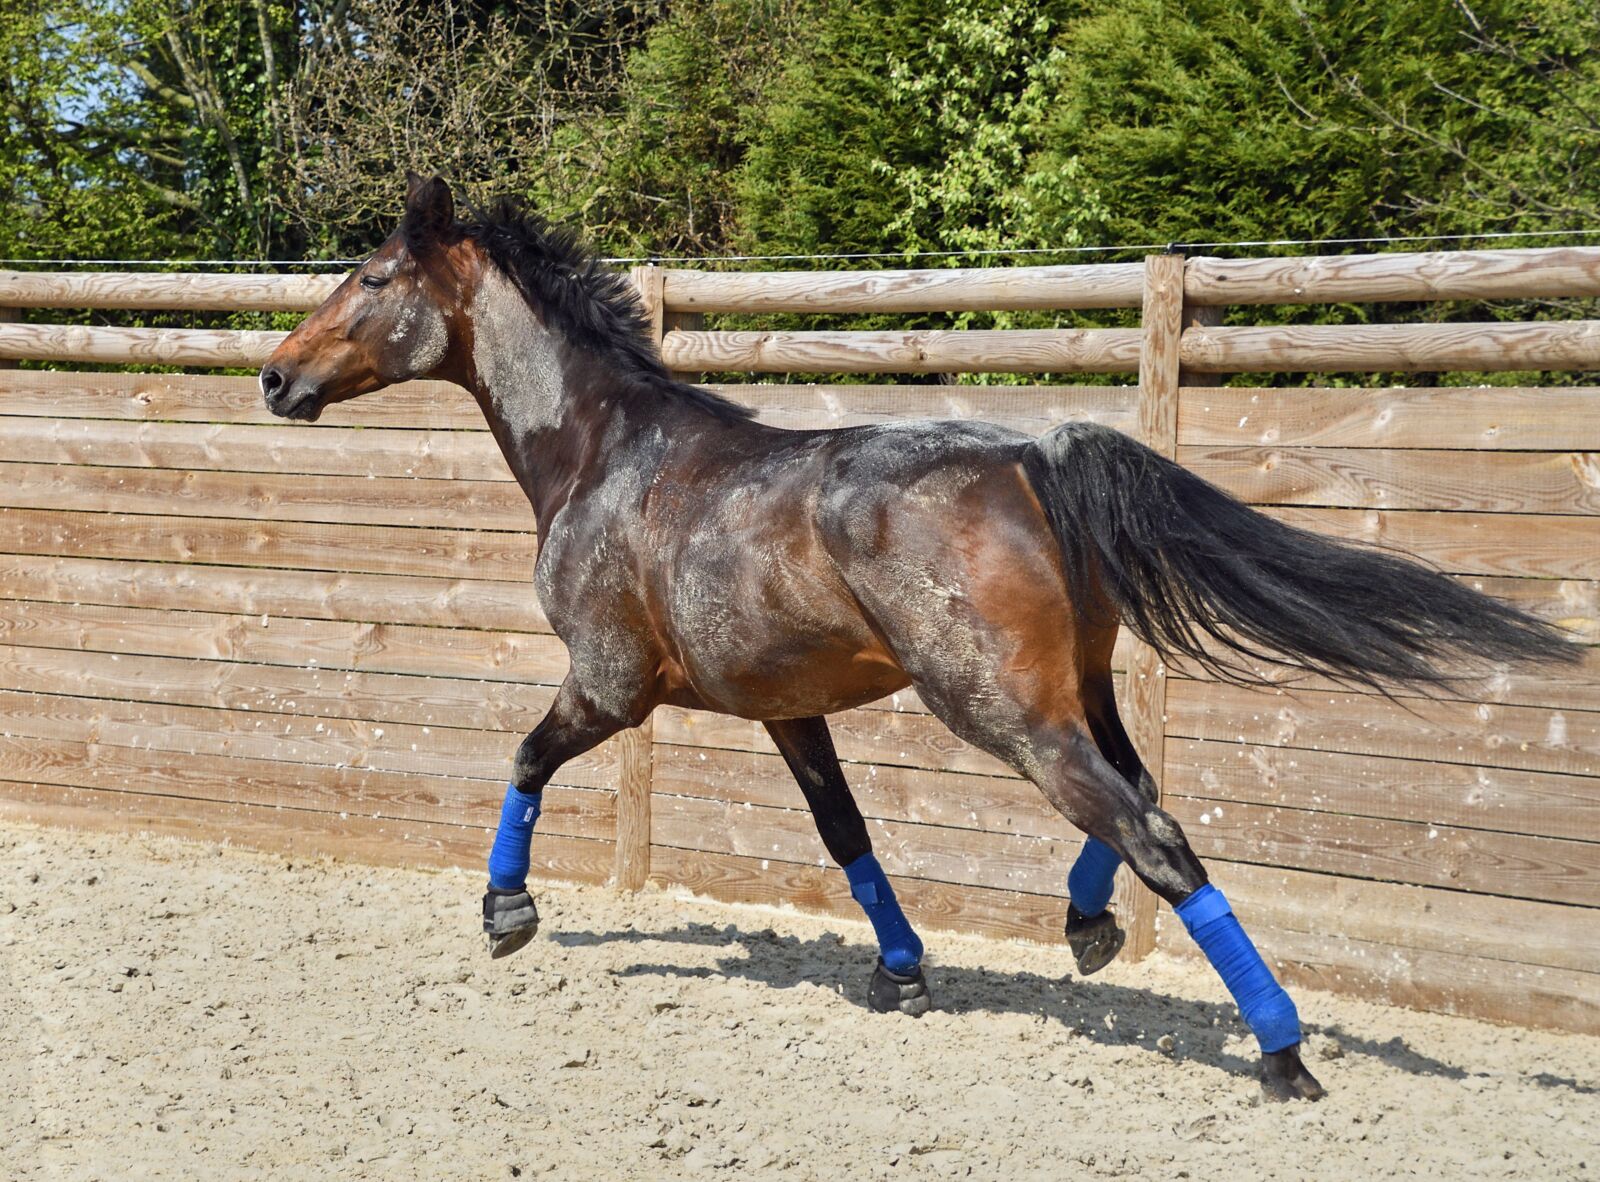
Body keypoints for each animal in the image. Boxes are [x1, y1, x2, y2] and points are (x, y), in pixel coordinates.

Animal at [260, 173, 1575, 1102]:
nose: (276, 380)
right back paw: (1090, 928)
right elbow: (845, 836)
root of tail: (1035, 451)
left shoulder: (610, 685)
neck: (603, 454)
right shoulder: (787, 708)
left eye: (370, 275)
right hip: (1068, 690)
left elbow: (525, 758)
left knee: (1152, 831)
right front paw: (899, 972)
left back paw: (1282, 1057)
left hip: (994, 706)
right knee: (1139, 800)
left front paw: (507, 916)